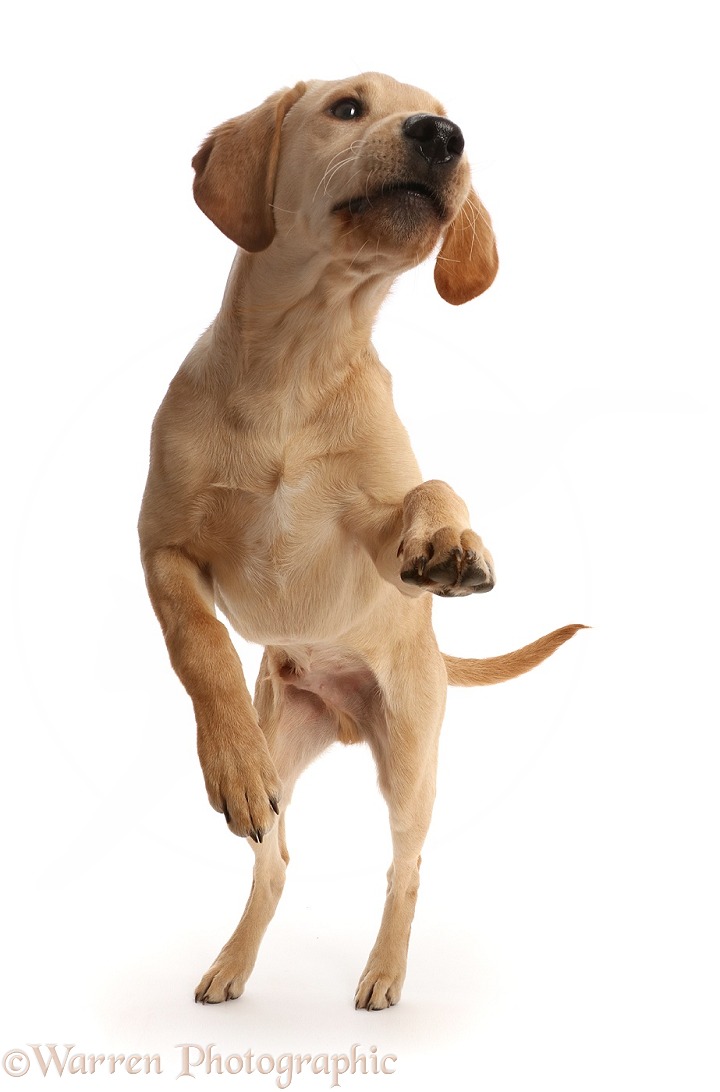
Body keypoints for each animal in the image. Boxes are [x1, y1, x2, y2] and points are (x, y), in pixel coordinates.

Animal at [138, 72, 581, 1004]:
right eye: (347, 106)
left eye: (446, 119)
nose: (444, 136)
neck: (298, 359)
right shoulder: (161, 545)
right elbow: (199, 644)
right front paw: (229, 762)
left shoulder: (372, 551)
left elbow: (429, 487)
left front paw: (454, 544)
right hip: (286, 738)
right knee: (274, 860)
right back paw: (233, 961)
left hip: (411, 761)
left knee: (404, 869)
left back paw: (384, 970)